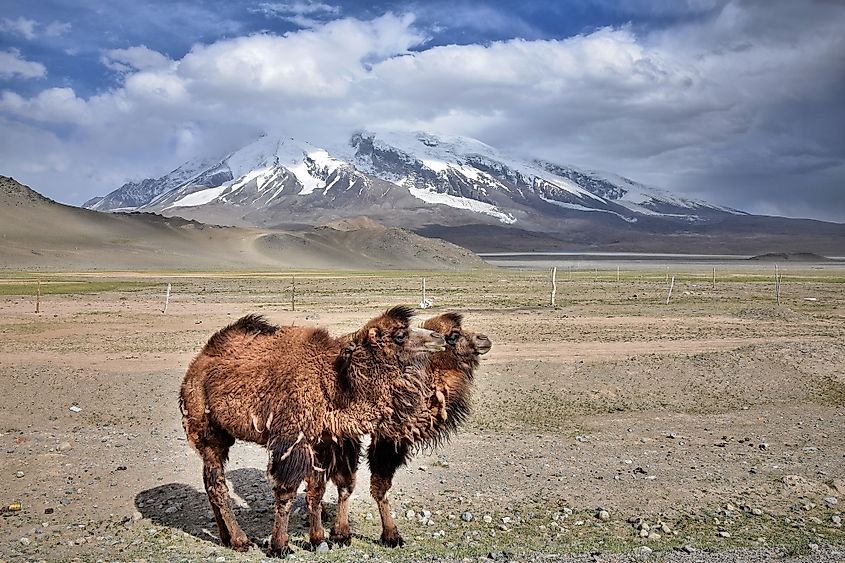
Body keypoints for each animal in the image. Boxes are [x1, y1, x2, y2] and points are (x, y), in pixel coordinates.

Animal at [177, 306, 442, 556]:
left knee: (211, 484)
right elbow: (286, 493)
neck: (333, 386)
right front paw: (280, 546)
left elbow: (316, 491)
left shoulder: (321, 442)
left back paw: (225, 538)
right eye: (400, 335)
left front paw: (318, 540)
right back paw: (241, 540)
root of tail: (196, 365)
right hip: (206, 430)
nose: (439, 337)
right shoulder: (292, 440)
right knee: (218, 485)